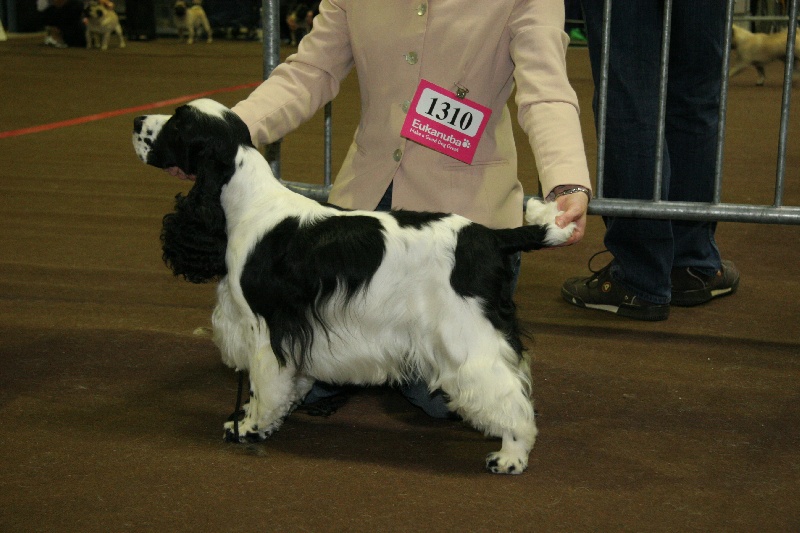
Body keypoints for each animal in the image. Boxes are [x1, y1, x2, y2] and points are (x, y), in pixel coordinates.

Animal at [134, 97, 580, 472]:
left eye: (177, 123)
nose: (137, 120)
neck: (248, 201)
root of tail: (490, 236)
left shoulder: (265, 326)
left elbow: (262, 385)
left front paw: (249, 427)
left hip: (466, 333)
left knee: (507, 394)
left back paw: (510, 456)